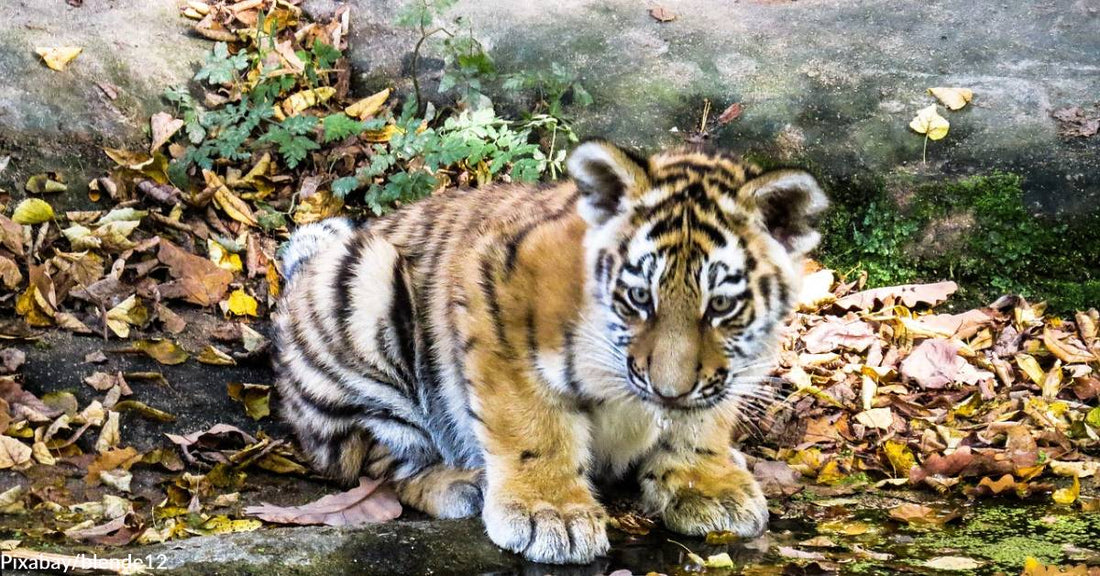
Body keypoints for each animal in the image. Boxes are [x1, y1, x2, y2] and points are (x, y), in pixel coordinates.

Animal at [273, 140, 827, 564]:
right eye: (639, 297)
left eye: (721, 305)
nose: (669, 391)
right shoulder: (494, 298)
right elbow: (532, 425)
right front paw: (551, 514)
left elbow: (701, 421)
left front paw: (707, 486)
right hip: (363, 285)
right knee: (375, 460)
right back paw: (462, 483)